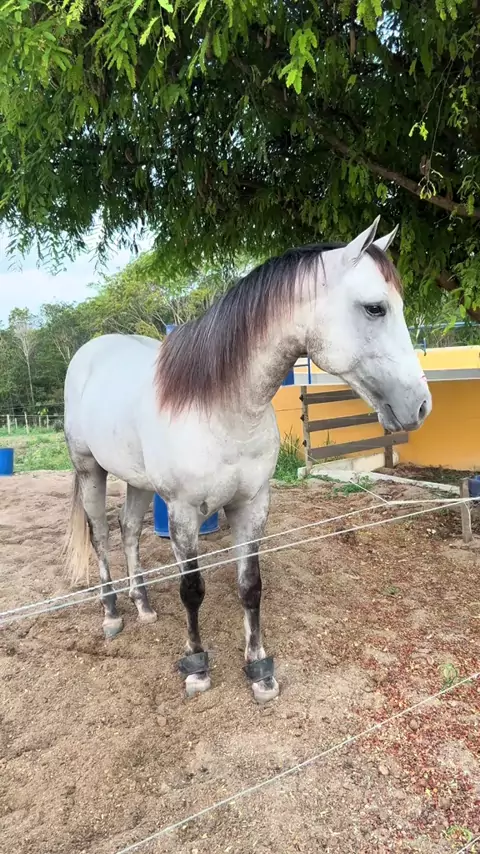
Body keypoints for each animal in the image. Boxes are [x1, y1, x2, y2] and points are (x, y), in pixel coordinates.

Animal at [63, 217, 431, 703]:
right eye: (375, 309)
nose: (421, 405)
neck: (219, 408)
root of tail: (90, 352)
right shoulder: (183, 513)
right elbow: (191, 588)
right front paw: (197, 667)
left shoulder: (252, 504)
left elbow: (250, 586)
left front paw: (259, 668)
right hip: (90, 470)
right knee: (102, 535)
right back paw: (111, 613)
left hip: (138, 481)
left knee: (128, 532)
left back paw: (142, 605)